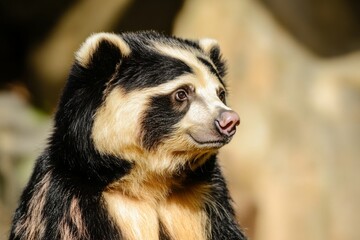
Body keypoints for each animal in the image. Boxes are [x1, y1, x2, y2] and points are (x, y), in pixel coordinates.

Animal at [10, 31, 248, 239]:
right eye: (182, 93)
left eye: (220, 93)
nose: (229, 121)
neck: (149, 180)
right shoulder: (66, 200)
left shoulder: (204, 199)